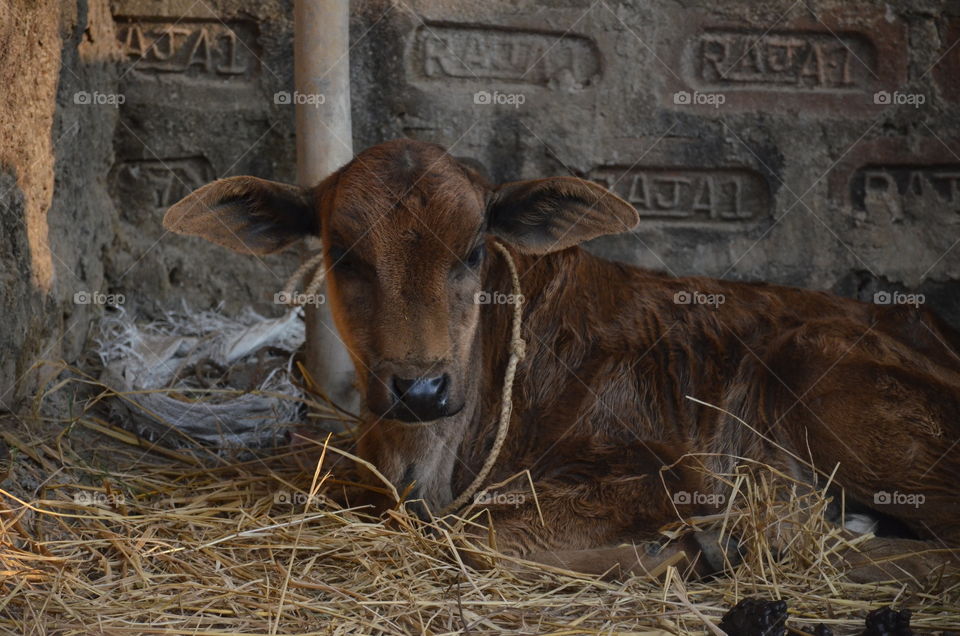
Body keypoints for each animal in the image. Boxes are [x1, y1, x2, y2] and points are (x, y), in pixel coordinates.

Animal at [164, 139, 960, 581]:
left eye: (474, 250)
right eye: (342, 254)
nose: (420, 388)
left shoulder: (667, 476)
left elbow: (484, 537)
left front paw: (676, 552)